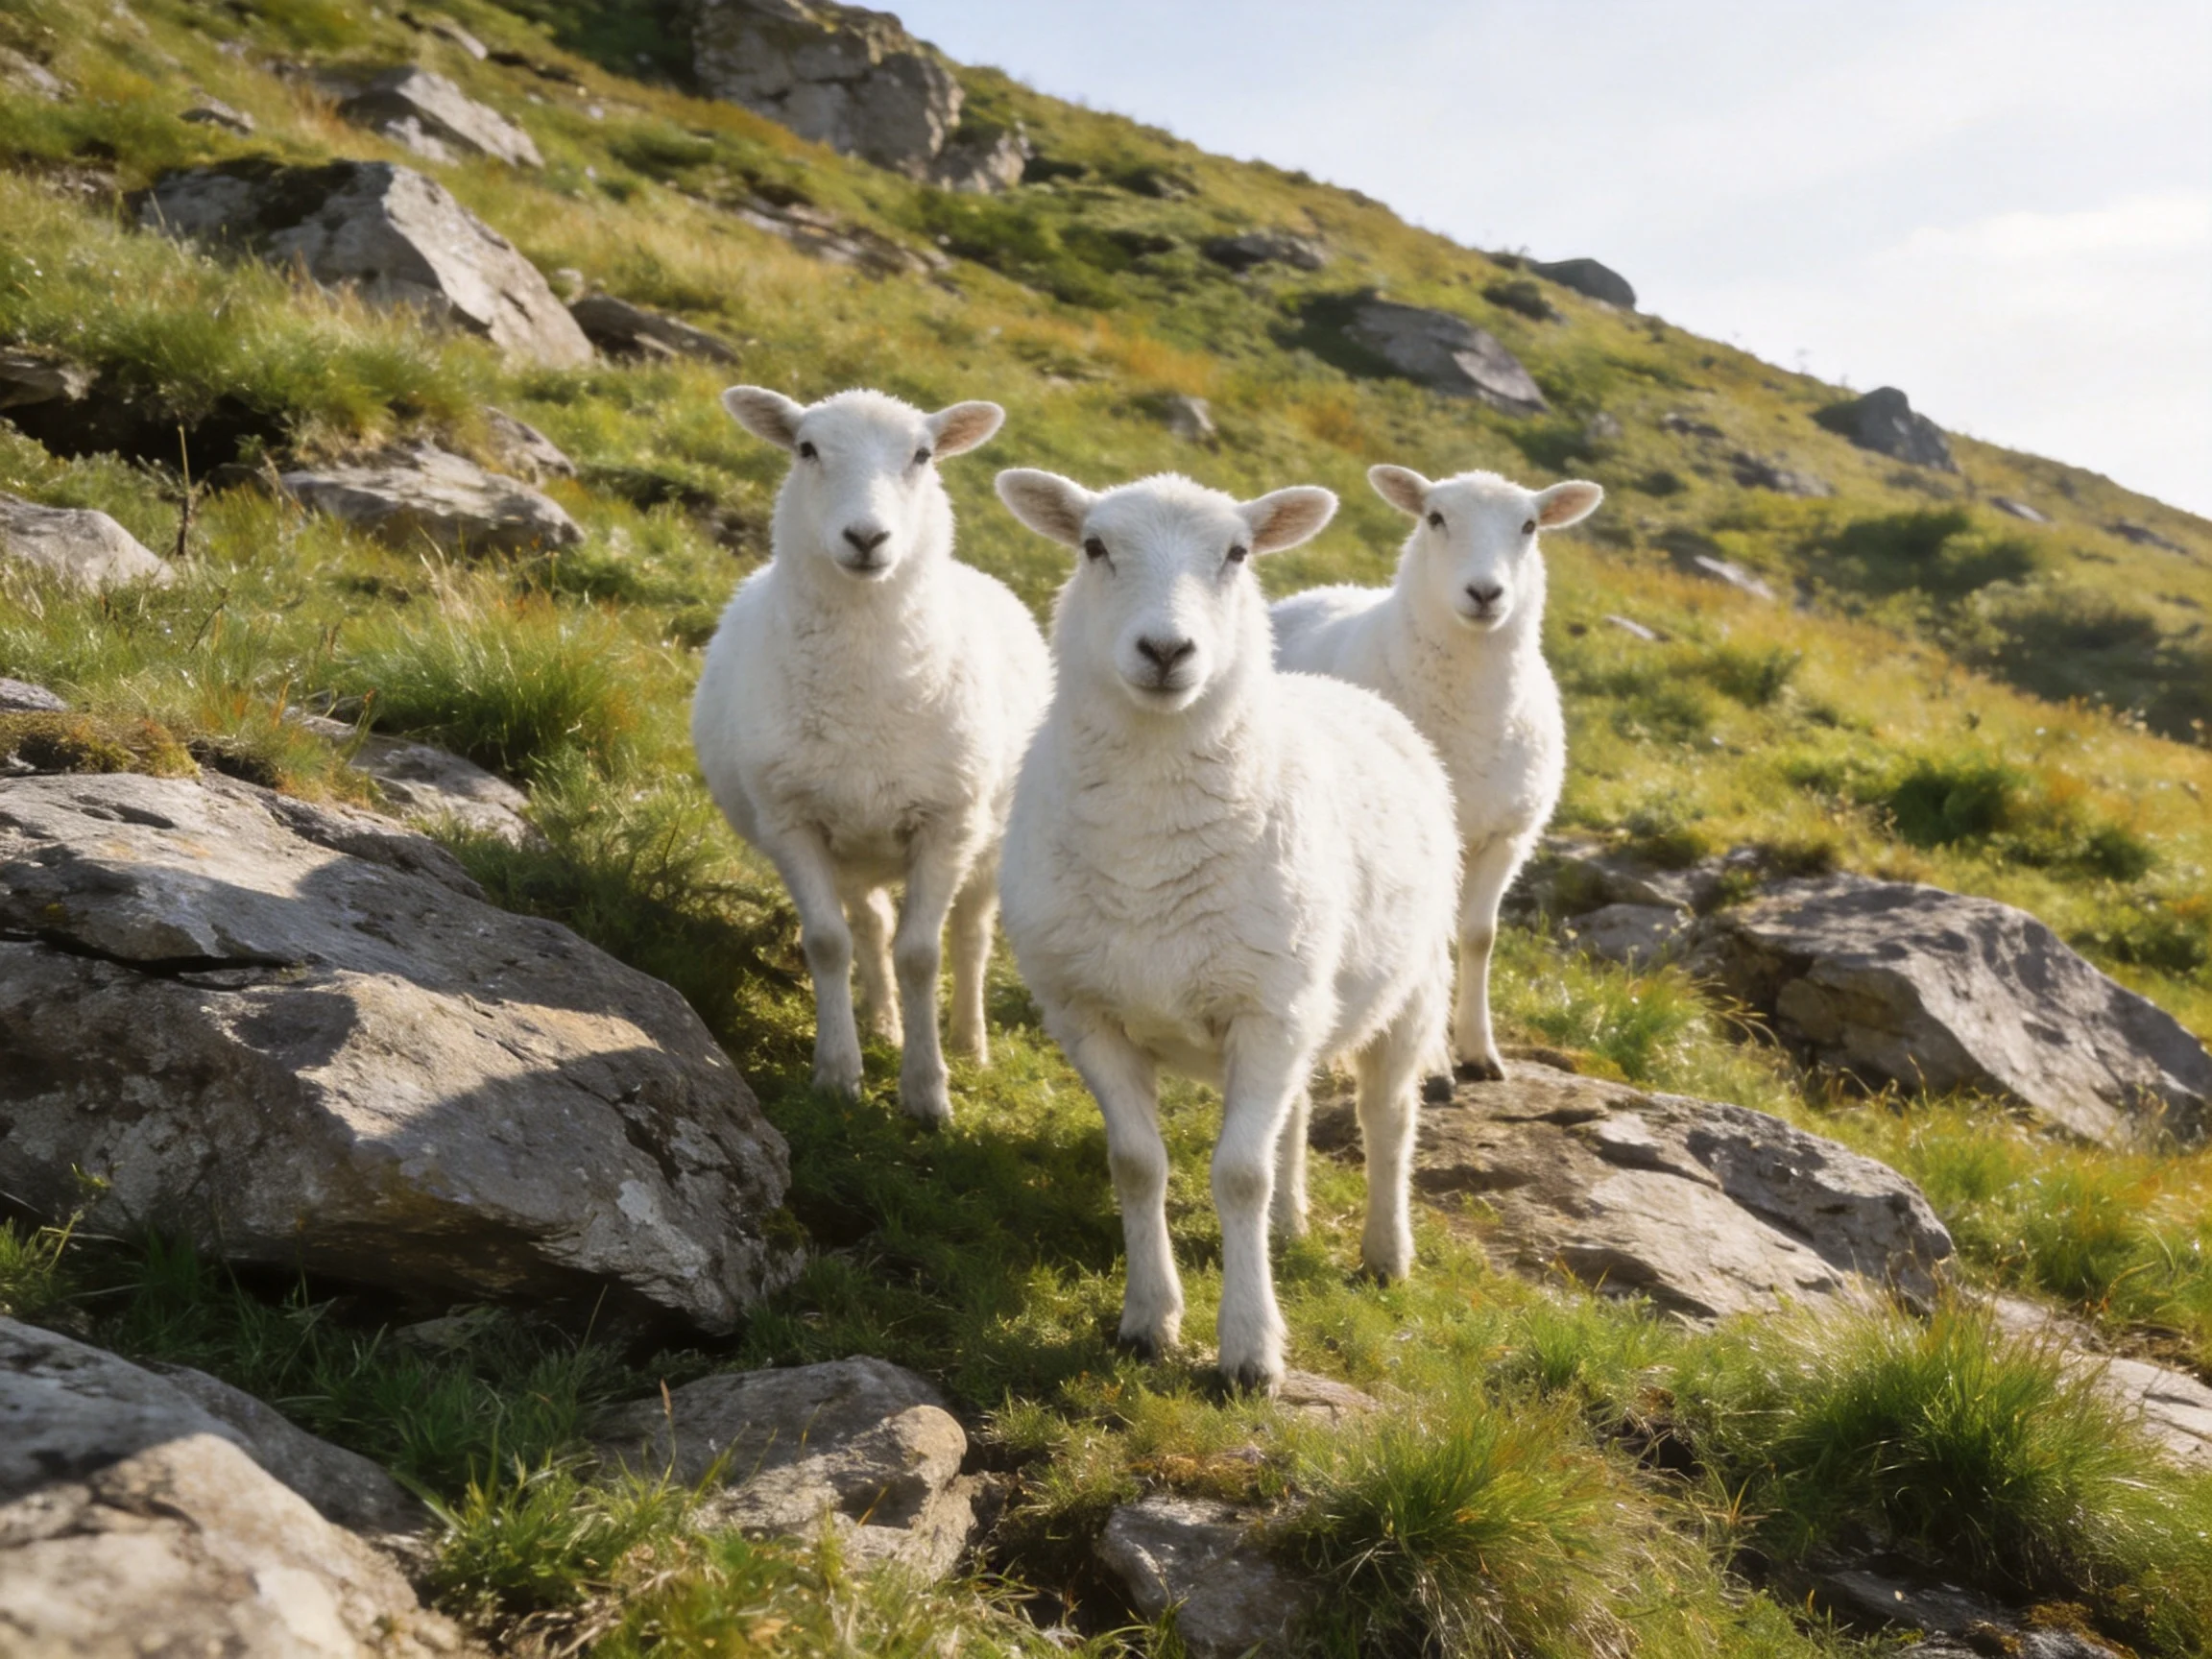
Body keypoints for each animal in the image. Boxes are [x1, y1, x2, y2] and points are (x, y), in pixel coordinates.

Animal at [692, 387, 1051, 1124]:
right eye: (806, 449)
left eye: (923, 455)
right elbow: (830, 944)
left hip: (990, 837)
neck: (863, 688)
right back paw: (882, 1022)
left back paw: (969, 1042)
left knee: (971, 935)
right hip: (853, 844)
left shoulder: (948, 822)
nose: (866, 538)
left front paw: (927, 1092)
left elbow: (923, 955)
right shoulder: (791, 820)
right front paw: (838, 1073)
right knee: (871, 924)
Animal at [994, 468, 1460, 1392]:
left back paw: (1385, 1253)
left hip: (1411, 988)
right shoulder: (1088, 1011)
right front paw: (1148, 1321)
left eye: (1238, 554)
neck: (1148, 846)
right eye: (1094, 547)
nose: (1166, 651)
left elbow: (1238, 1176)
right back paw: (1289, 1225)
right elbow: (1138, 1165)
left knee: (1387, 1119)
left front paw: (1250, 1350)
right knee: (1294, 1111)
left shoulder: (1266, 1011)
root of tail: (1343, 690)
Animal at [1271, 466, 1602, 1079]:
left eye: (1530, 526)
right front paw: (1434, 1060)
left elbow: (1478, 938)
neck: (1471, 720)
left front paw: (1479, 1049)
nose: (1486, 593)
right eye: (1436, 518)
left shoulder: (1508, 835)